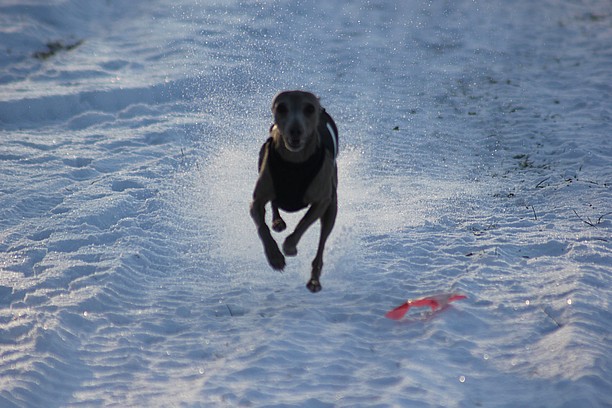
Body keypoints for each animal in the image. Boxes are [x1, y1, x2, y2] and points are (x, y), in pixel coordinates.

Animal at [249, 90, 340, 292]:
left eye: (309, 108)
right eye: (281, 107)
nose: (295, 130)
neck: (295, 162)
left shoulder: (322, 201)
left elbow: (303, 224)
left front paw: (290, 247)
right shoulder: (257, 199)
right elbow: (261, 227)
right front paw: (274, 256)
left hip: (332, 208)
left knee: (321, 243)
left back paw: (314, 279)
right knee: (274, 204)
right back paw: (277, 221)